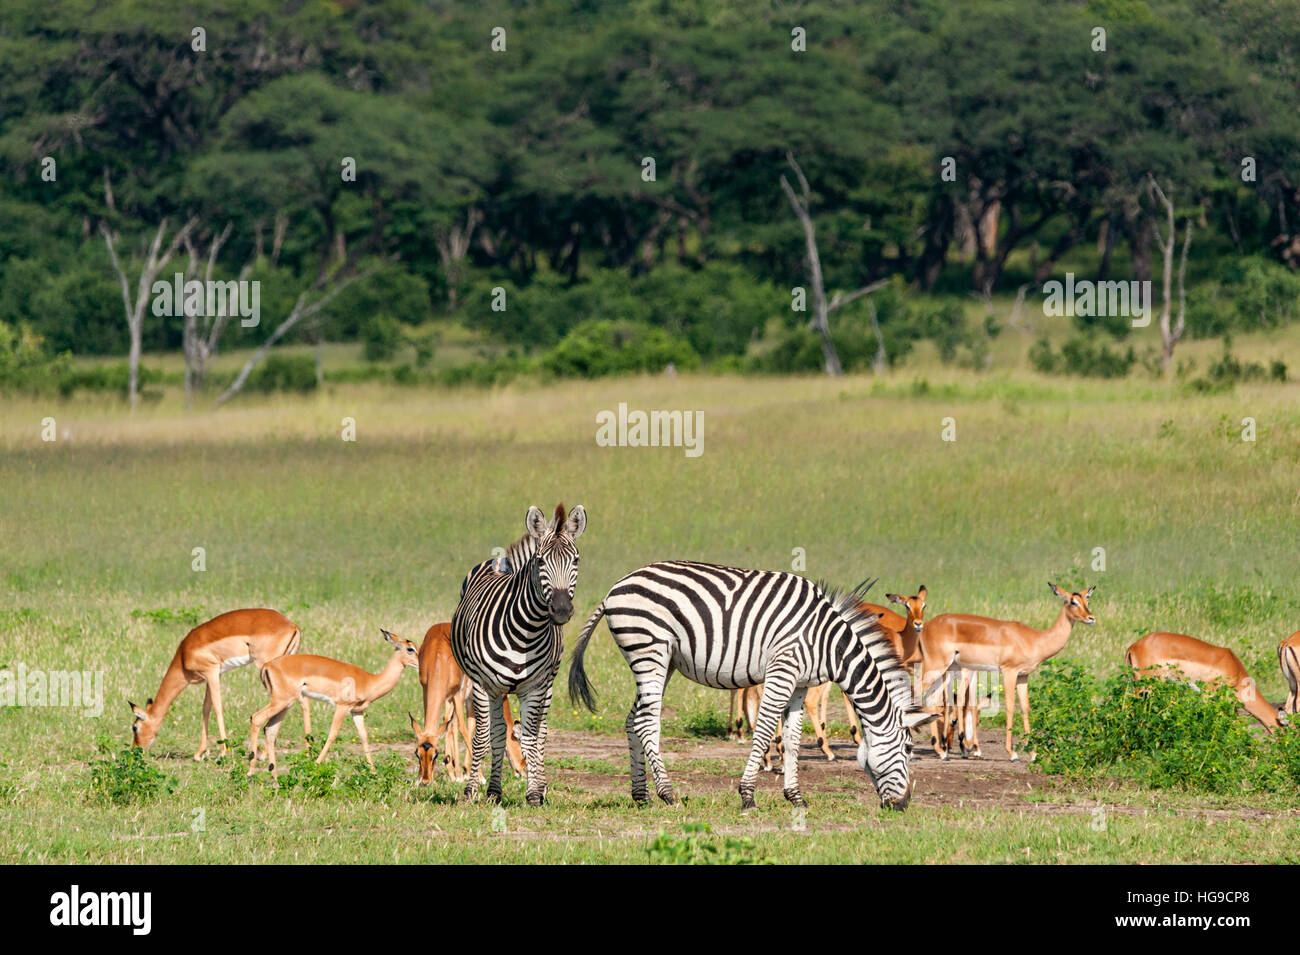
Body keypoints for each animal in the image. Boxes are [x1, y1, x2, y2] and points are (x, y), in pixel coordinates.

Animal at [449, 504, 587, 805]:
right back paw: (493, 792)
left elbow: (533, 737)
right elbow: (483, 737)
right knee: (499, 732)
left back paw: (538, 786)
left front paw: (534, 793)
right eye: (540, 561)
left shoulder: (535, 687)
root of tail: (499, 561)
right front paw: (470, 792)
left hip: (548, 683)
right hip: (494, 689)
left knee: (540, 732)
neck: (527, 630)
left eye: (576, 561)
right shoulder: (482, 685)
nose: (561, 610)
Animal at [569, 563, 935, 810]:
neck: (828, 642)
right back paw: (668, 794)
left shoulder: (800, 684)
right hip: (650, 649)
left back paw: (641, 795)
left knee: (634, 718)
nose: (903, 805)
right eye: (908, 749)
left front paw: (795, 797)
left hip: (662, 660)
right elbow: (763, 731)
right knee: (646, 721)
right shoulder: (782, 670)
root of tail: (615, 587)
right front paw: (747, 795)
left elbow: (792, 738)